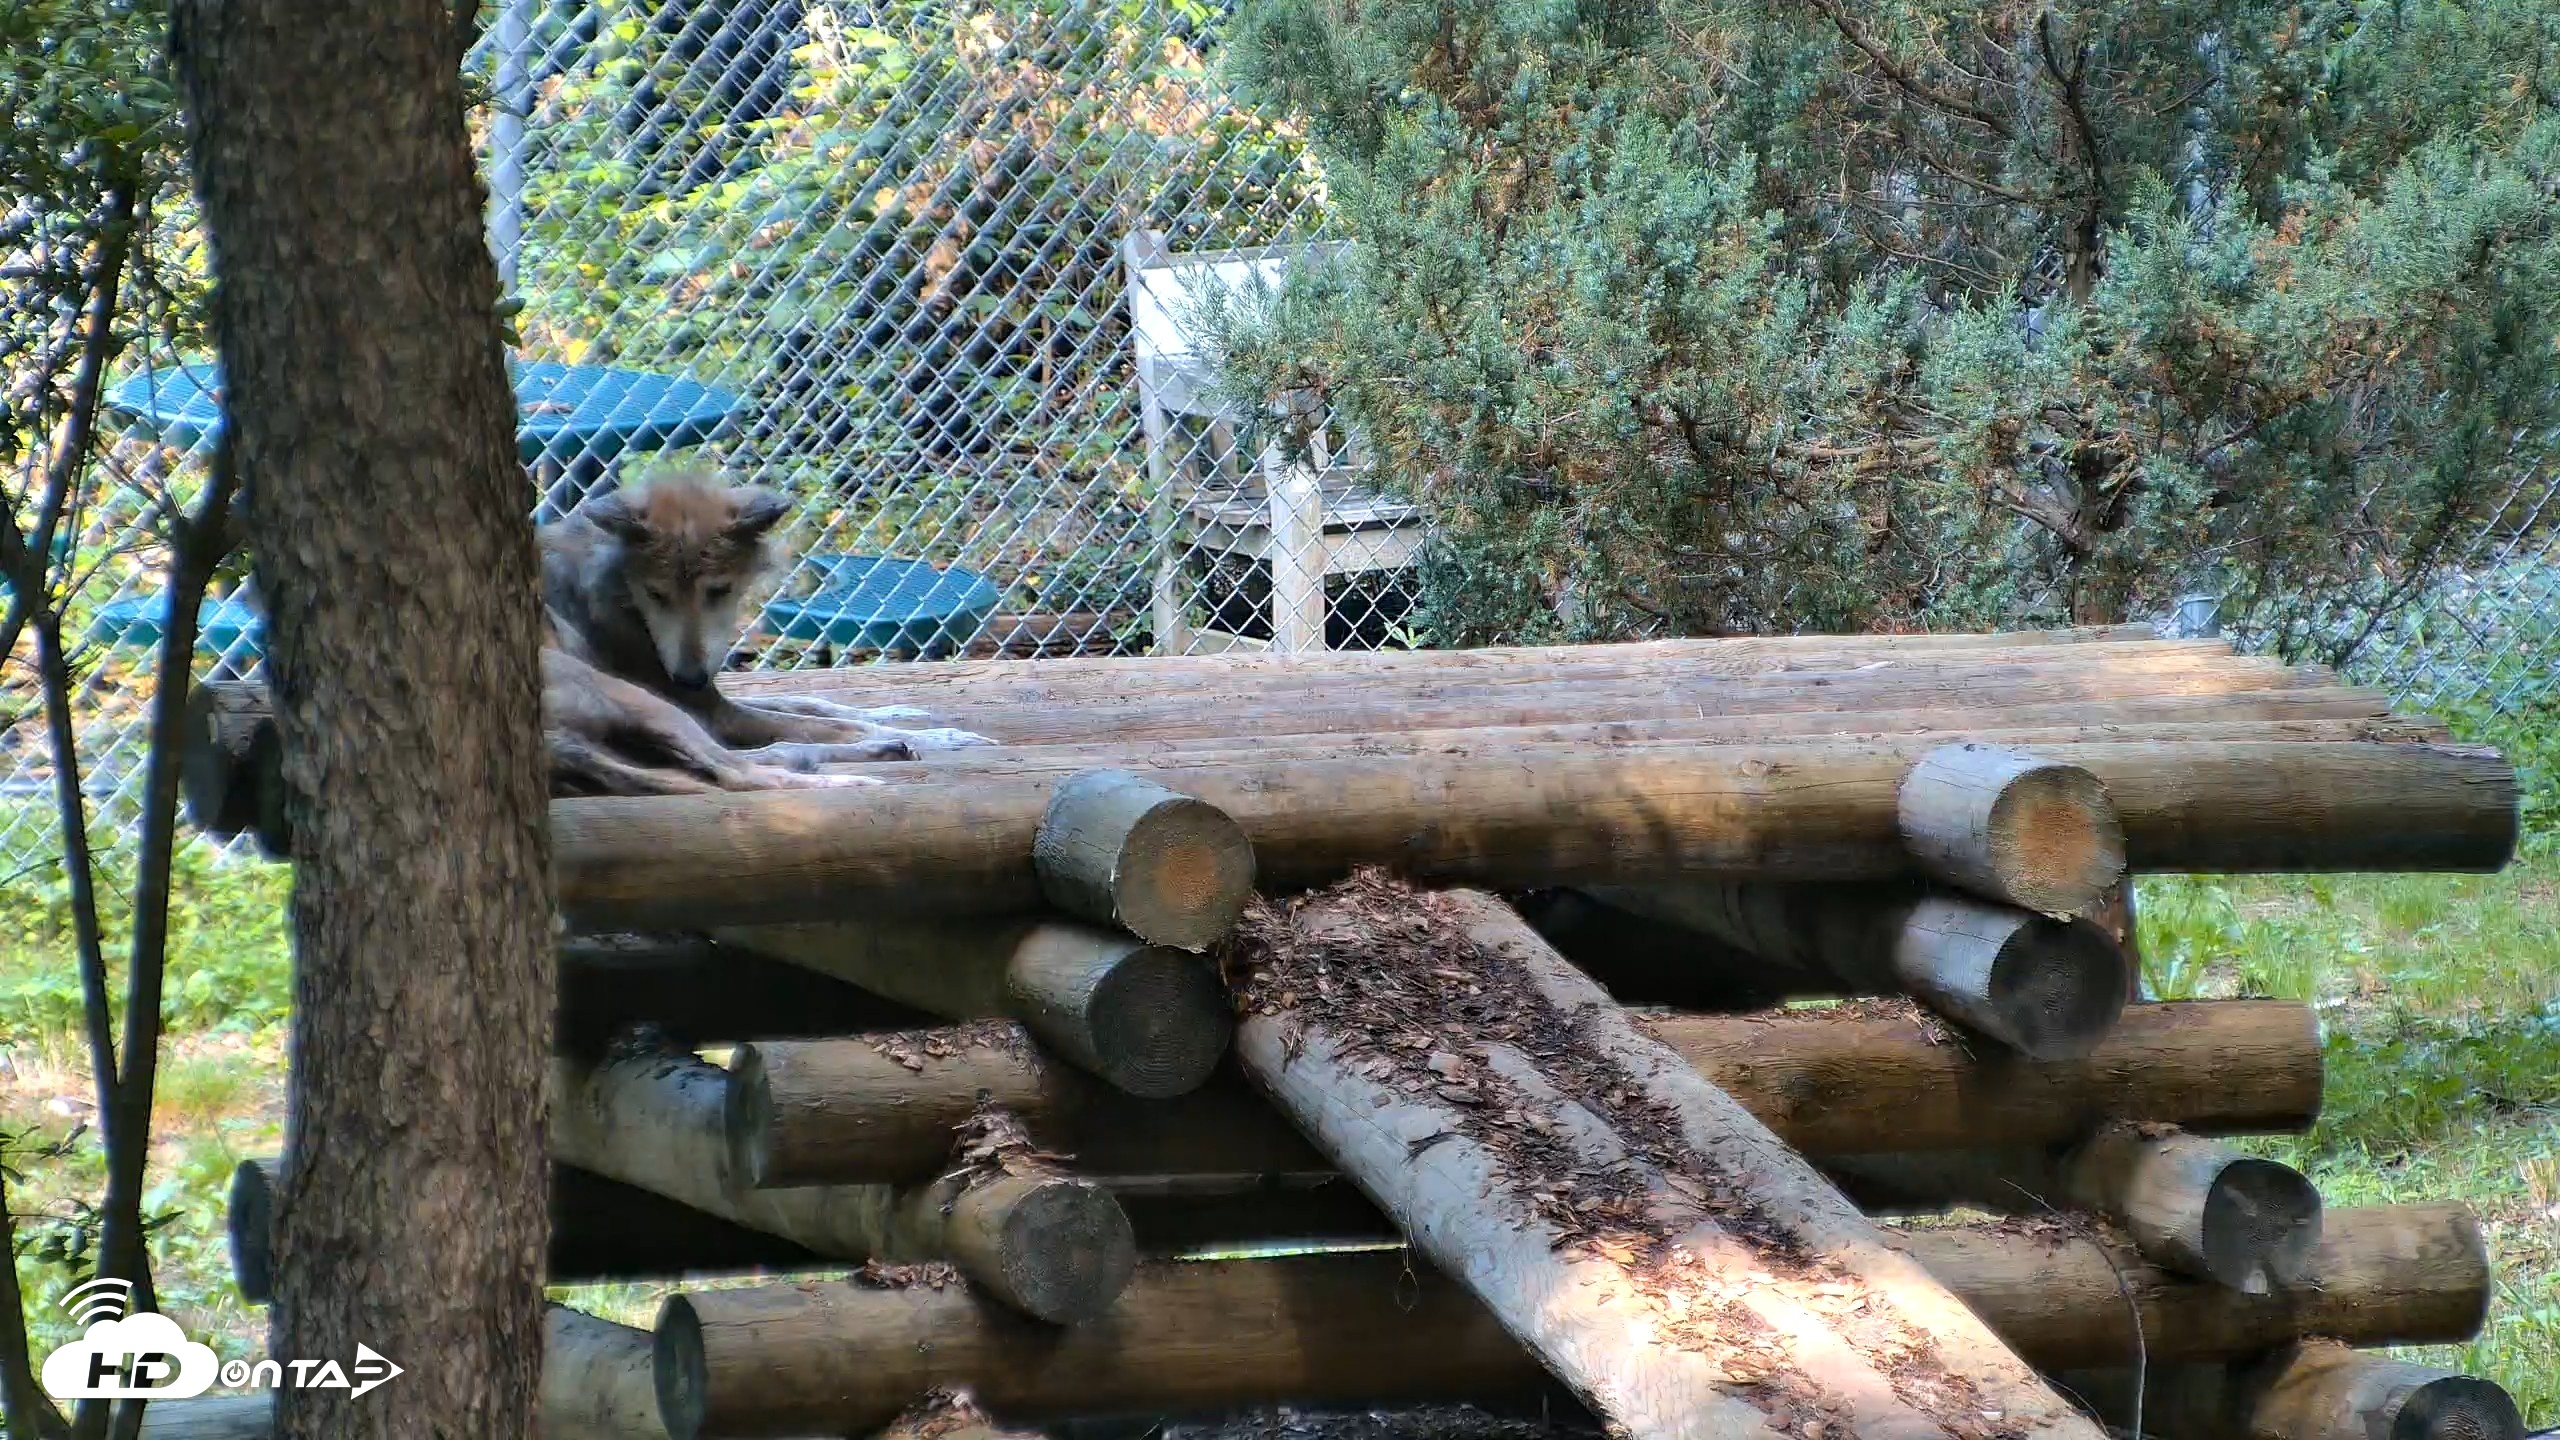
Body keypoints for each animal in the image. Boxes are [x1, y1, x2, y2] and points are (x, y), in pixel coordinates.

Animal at [538, 467, 993, 769]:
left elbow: (813, 704)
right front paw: (939, 738)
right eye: (656, 594)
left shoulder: (712, 699)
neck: (613, 590)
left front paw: (896, 713)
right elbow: (823, 723)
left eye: (719, 591)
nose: (687, 679)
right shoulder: (711, 712)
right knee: (769, 756)